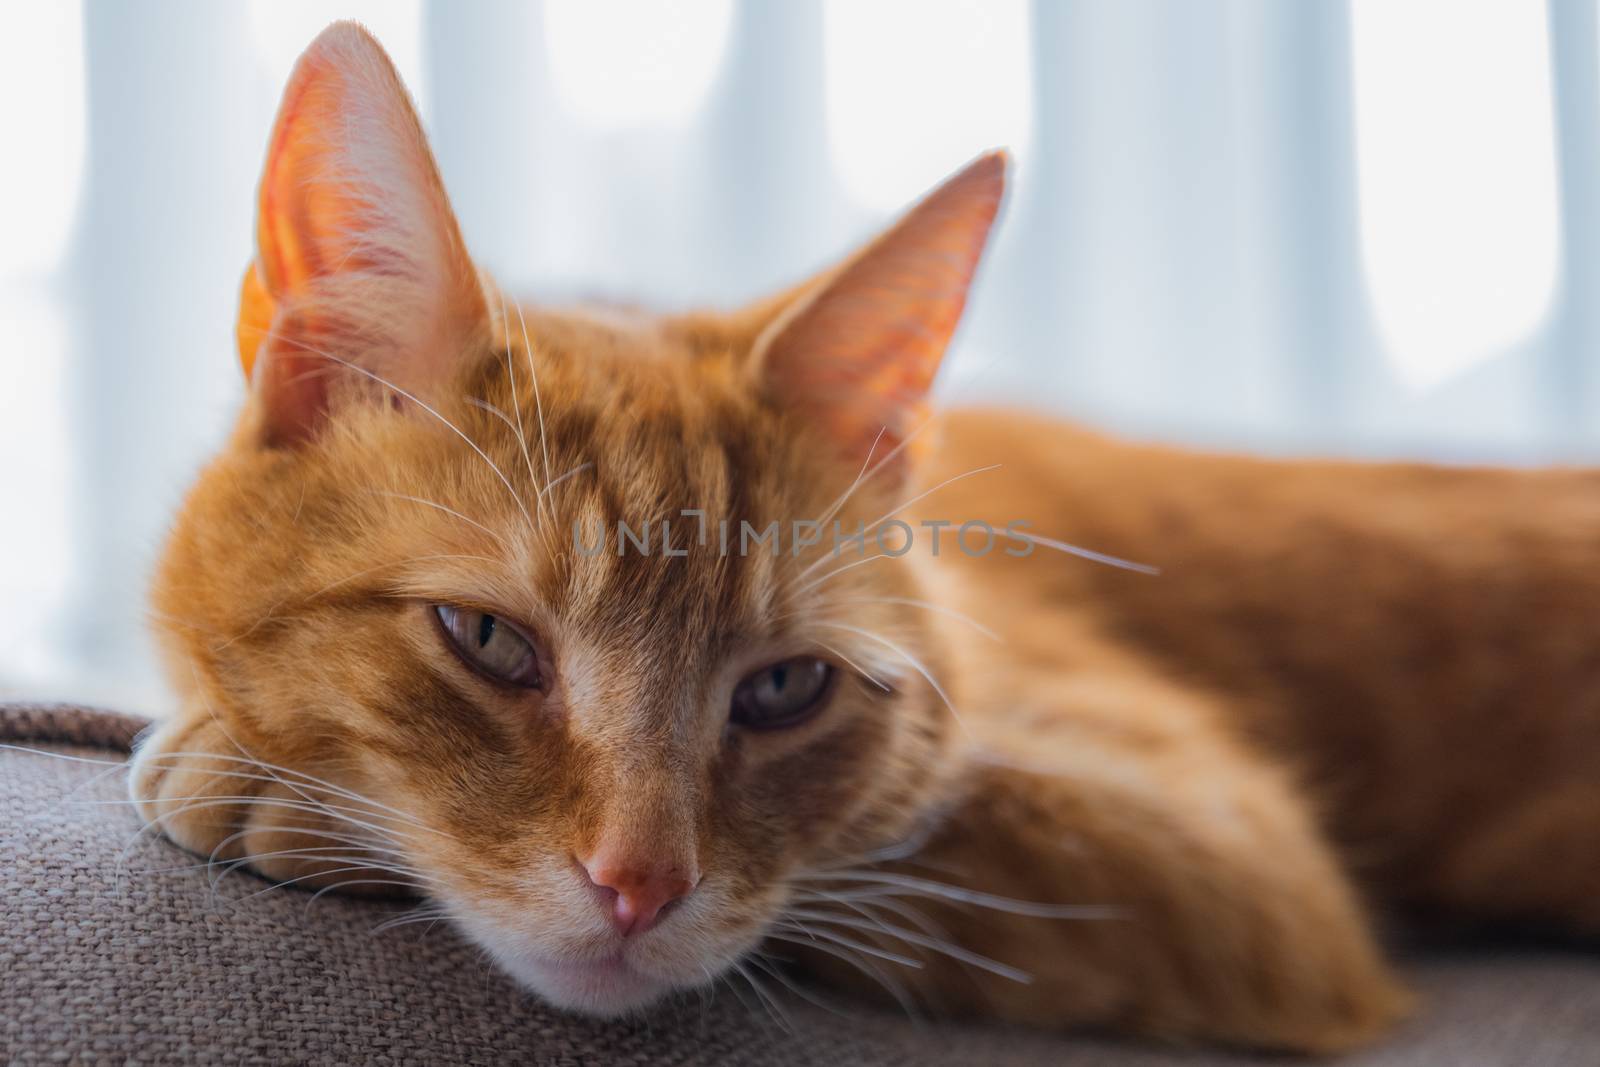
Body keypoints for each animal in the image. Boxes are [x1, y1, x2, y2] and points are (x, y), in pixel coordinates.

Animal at [128, 20, 1600, 1055]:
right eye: (487, 639)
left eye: (785, 687)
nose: (638, 886)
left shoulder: (1234, 862)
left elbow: (922, 841)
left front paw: (262, 786)